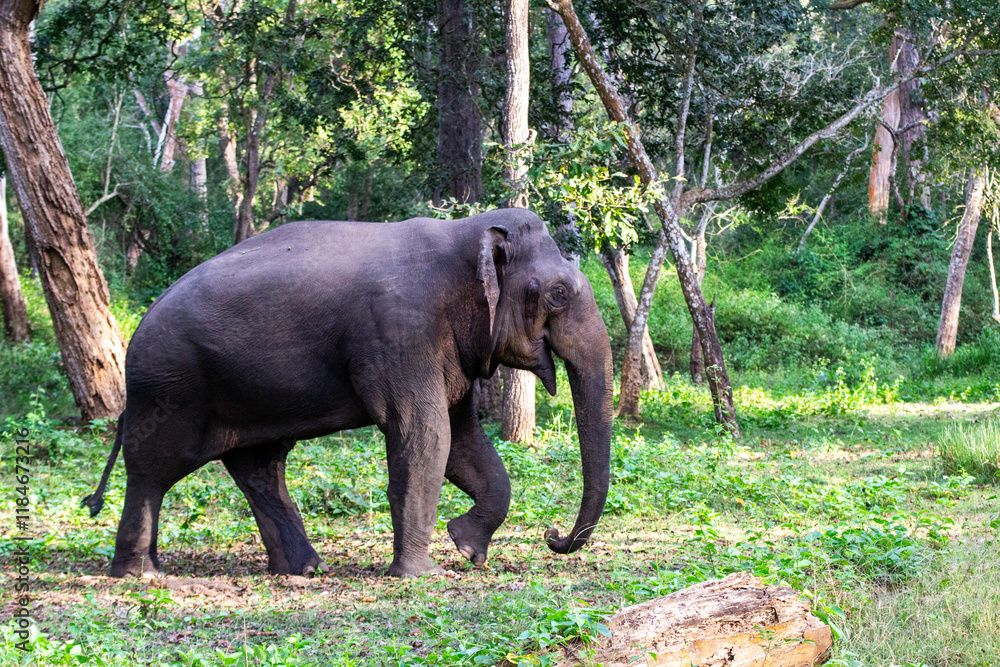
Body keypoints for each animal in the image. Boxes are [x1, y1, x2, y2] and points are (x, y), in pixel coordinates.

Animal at [84, 208, 613, 578]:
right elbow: (425, 435)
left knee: (259, 467)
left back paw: (303, 570)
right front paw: (421, 575)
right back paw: (144, 575)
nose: (553, 536)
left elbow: (463, 442)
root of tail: (136, 329)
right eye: (559, 294)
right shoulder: (399, 332)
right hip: (170, 386)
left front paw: (467, 547)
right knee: (154, 470)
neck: (464, 232)